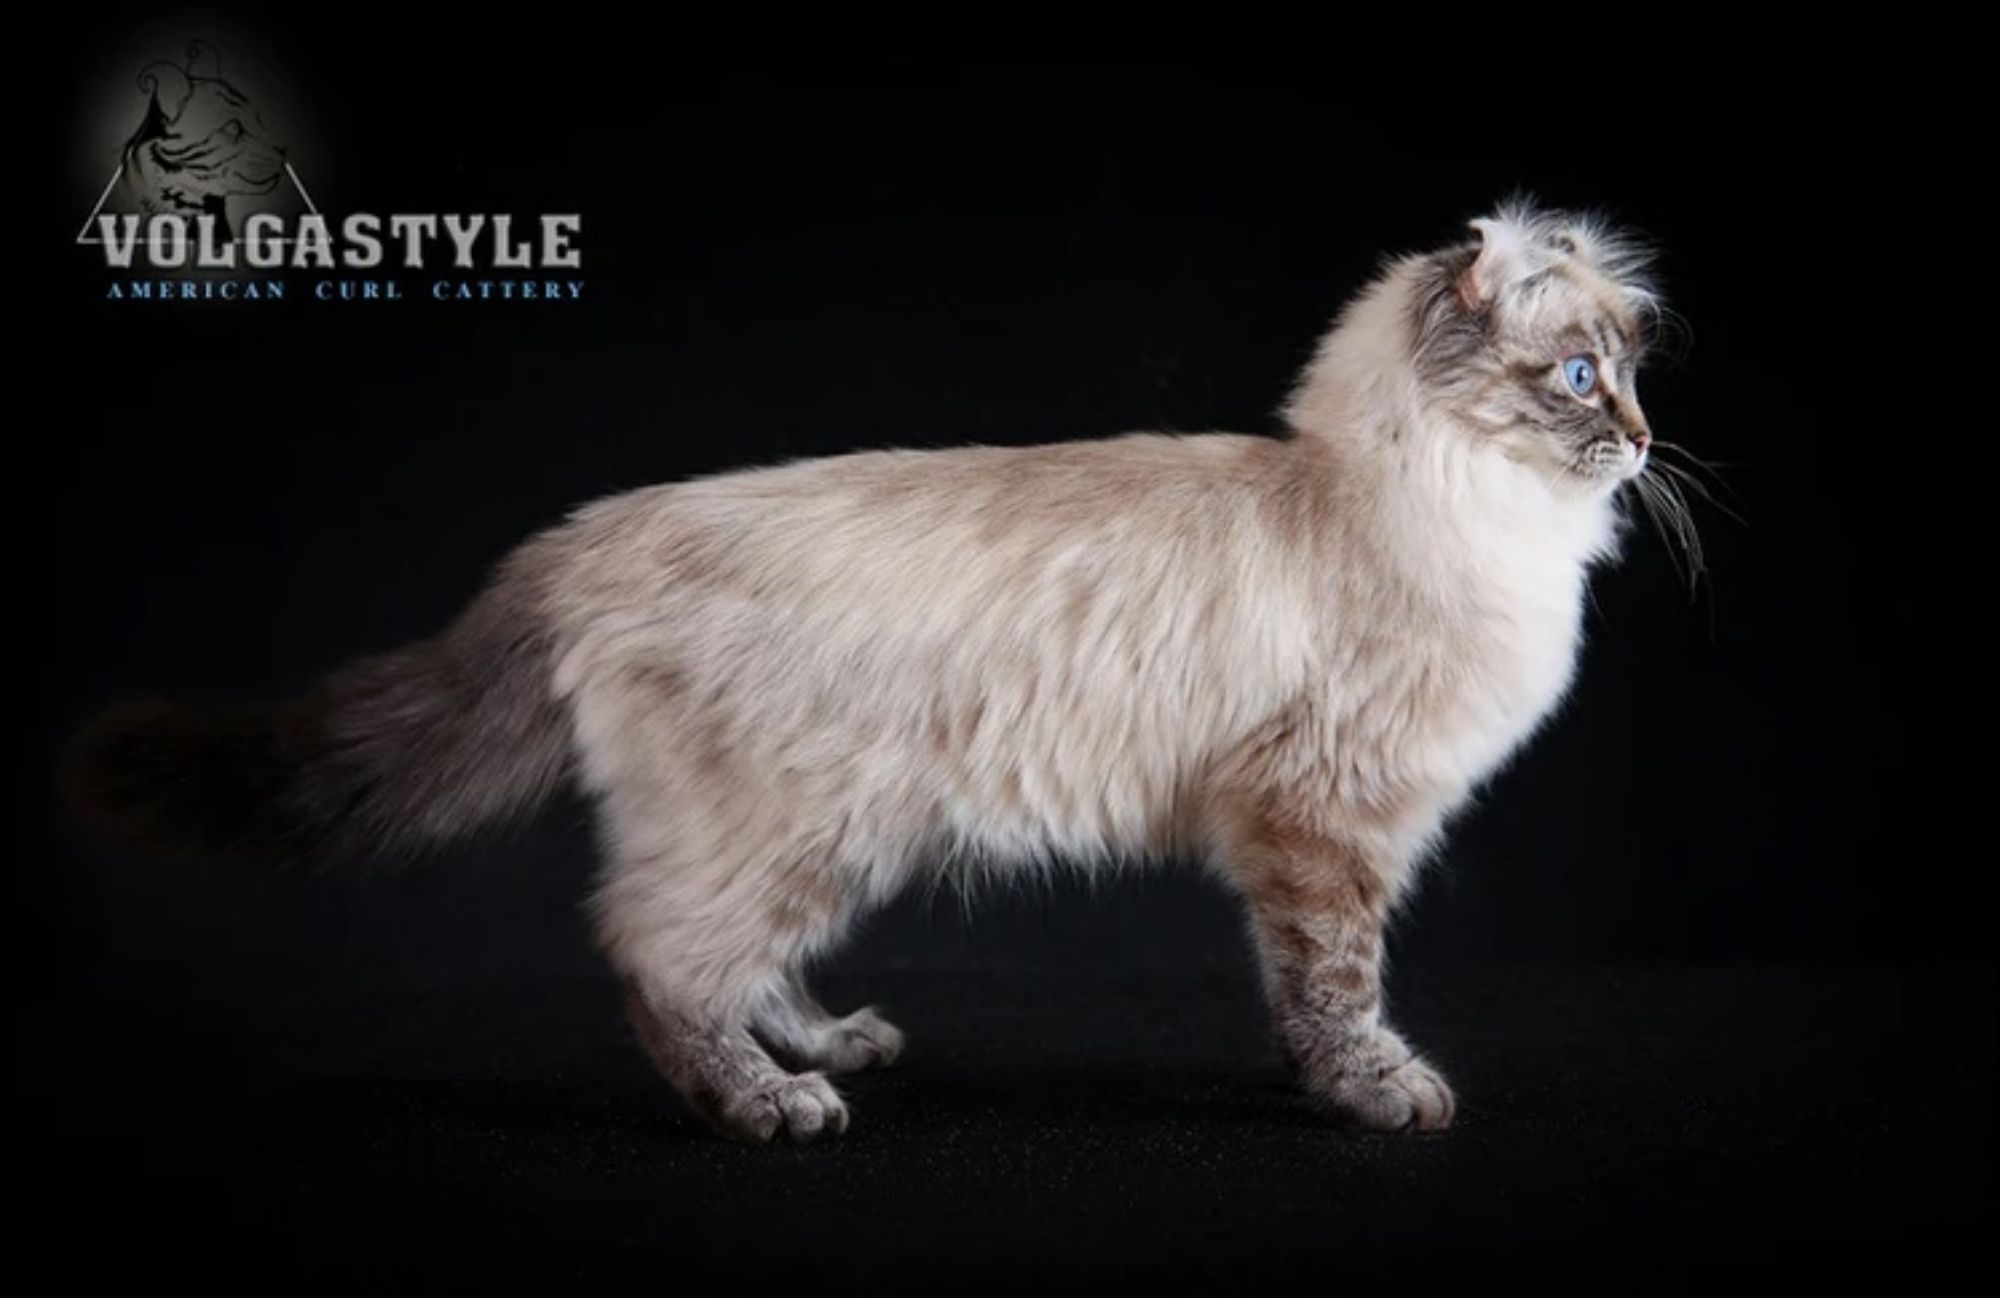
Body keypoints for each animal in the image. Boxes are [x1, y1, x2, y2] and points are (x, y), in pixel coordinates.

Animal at [69, 201, 1669, 1143]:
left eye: (1634, 375)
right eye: (1578, 378)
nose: (1645, 441)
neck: (1423, 504)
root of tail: (591, 529)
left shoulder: (1314, 828)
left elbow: (1305, 983)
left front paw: (1333, 1077)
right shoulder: (1326, 824)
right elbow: (1336, 982)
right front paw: (1378, 1088)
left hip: (831, 826)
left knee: (727, 950)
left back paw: (833, 1043)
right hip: (804, 820)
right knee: (654, 947)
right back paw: (771, 1102)